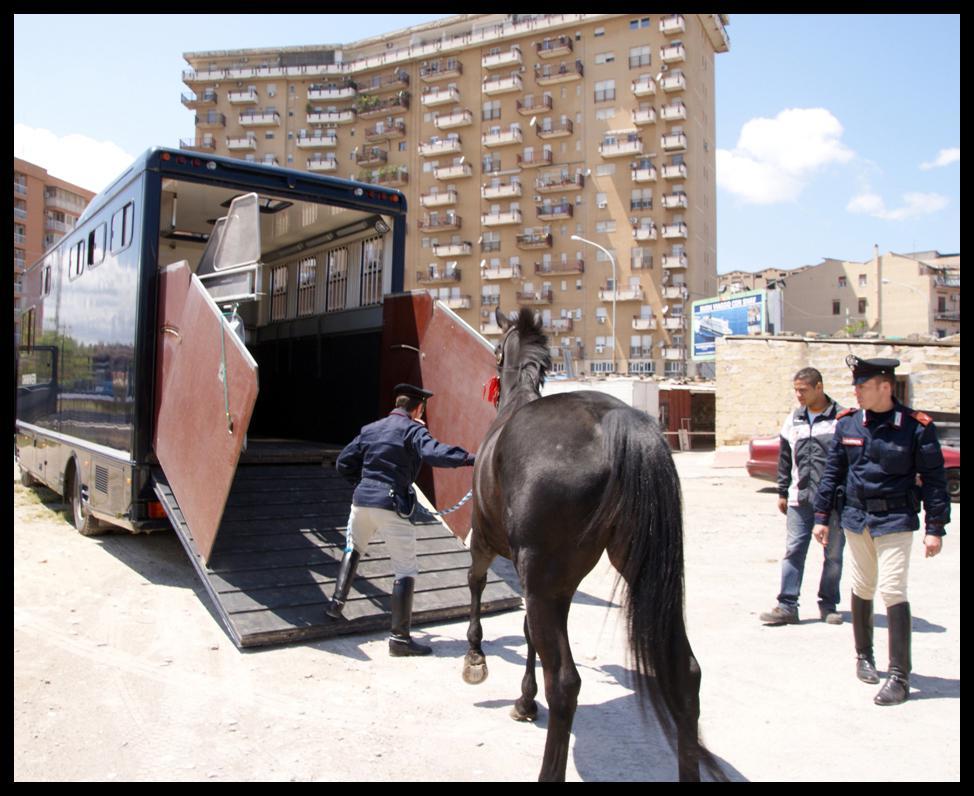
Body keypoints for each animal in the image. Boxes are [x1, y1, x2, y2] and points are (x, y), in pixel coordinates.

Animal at [462, 307, 724, 782]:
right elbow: (528, 632)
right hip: (630, 572)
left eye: (495, 351)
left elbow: (476, 587)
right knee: (687, 673)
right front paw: (524, 701)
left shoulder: (487, 544)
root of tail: (617, 423)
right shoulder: (552, 587)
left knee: (565, 684)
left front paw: (476, 661)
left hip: (542, 577)